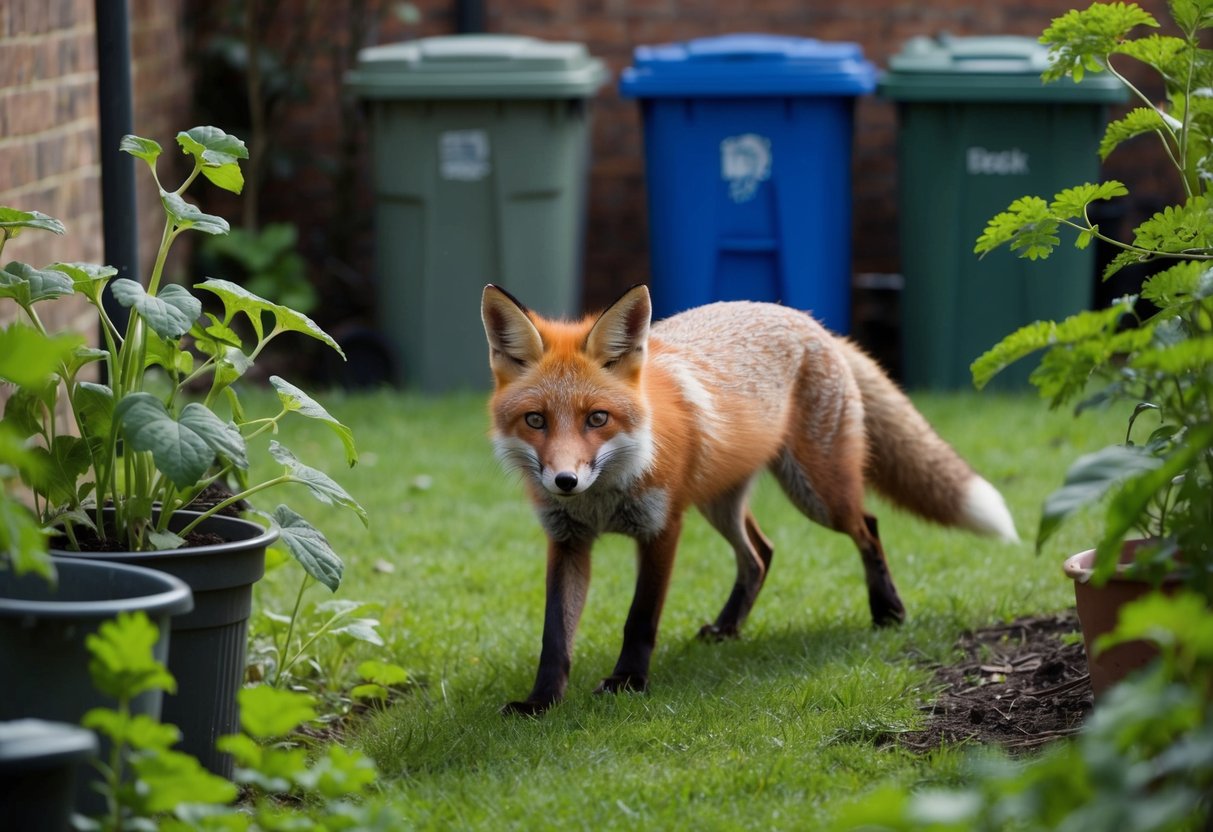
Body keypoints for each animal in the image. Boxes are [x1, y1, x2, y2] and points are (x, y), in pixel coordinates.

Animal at [481, 283, 1018, 715]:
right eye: (535, 420)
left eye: (597, 418)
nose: (564, 481)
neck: (603, 498)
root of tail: (810, 321)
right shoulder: (568, 540)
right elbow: (555, 635)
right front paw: (540, 702)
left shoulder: (662, 528)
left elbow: (640, 618)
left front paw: (628, 681)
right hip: (719, 501)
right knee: (761, 553)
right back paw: (727, 628)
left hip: (818, 494)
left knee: (867, 525)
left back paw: (887, 610)